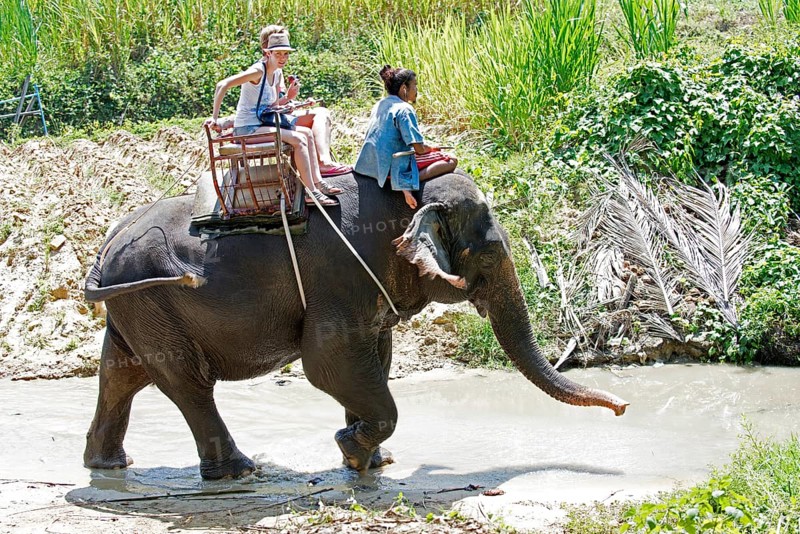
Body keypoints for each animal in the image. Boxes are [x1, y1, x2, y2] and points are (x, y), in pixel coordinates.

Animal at [83, 171, 628, 480]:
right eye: (490, 255)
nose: (623, 407)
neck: (406, 199)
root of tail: (106, 244)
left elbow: (375, 361)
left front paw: (369, 460)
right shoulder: (340, 278)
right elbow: (328, 364)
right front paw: (351, 452)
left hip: (138, 307)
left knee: (121, 373)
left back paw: (109, 466)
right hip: (151, 299)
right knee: (187, 382)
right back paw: (239, 473)